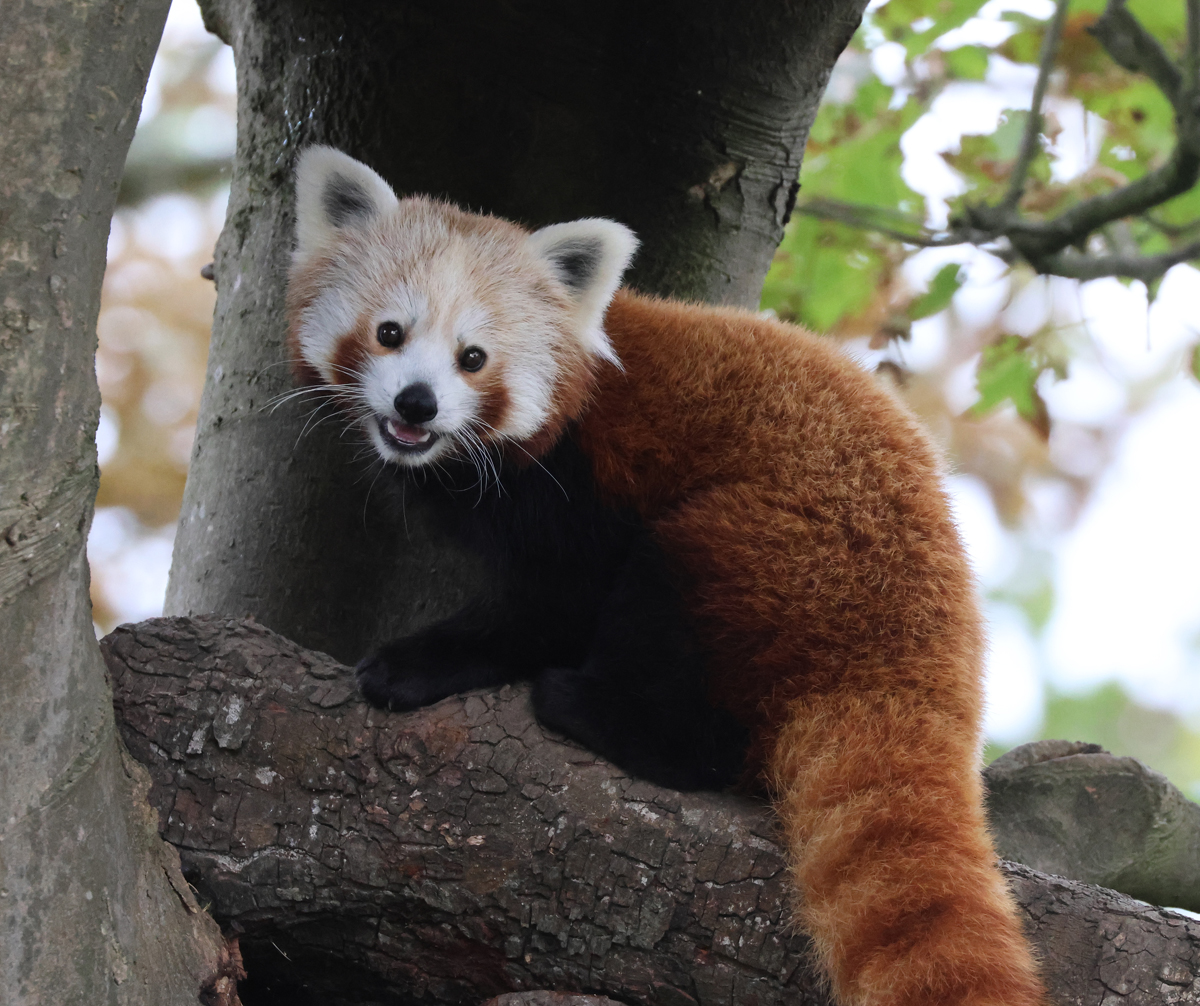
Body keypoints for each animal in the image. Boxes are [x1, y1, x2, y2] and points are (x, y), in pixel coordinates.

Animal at [287, 146, 1044, 1006]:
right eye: (390, 333)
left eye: (472, 358)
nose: (417, 403)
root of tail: (925, 651)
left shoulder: (583, 485)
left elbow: (553, 603)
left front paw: (413, 665)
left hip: (765, 555)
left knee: (691, 680)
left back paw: (587, 707)